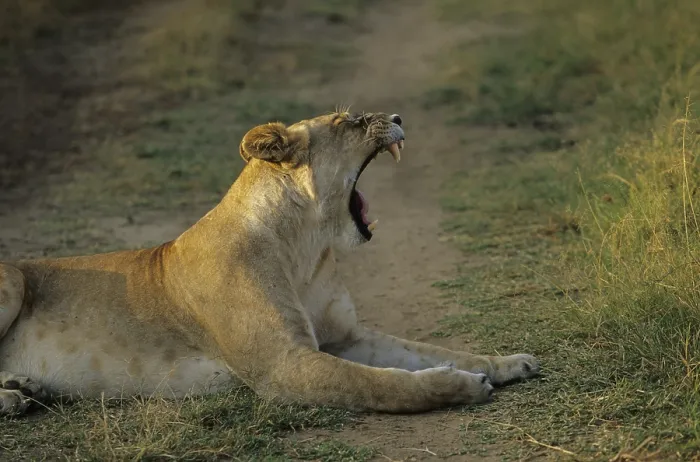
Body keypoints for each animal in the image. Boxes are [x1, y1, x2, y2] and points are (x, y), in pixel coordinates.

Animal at [0, 111, 539, 415]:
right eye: (347, 122)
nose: (398, 114)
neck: (306, 247)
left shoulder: (347, 337)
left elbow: (425, 350)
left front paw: (507, 363)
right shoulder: (284, 366)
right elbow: (380, 385)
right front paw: (460, 385)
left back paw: (23, 388)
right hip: (11, 279)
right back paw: (15, 398)